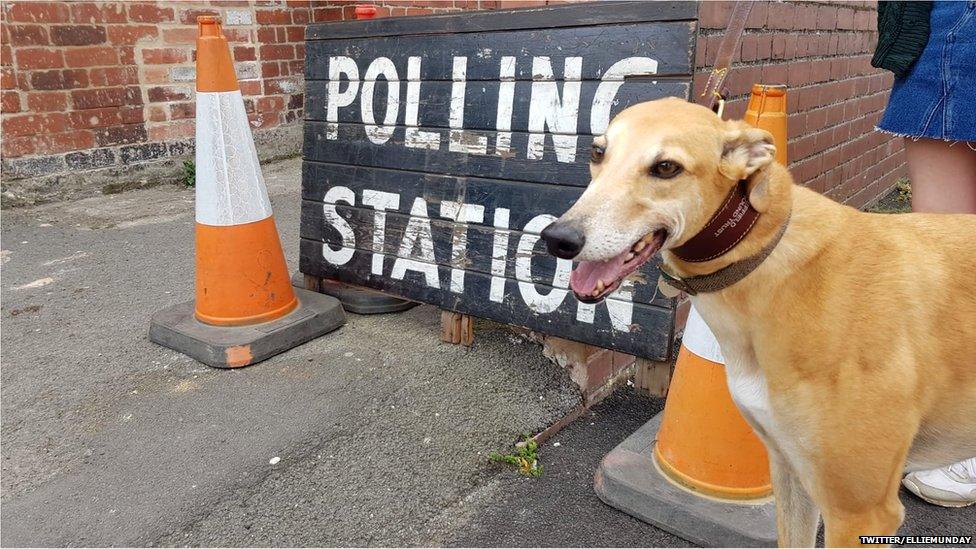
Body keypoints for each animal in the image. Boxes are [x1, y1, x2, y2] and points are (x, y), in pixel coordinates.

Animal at [540, 97, 976, 544]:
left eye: (666, 167)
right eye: (598, 152)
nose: (558, 239)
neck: (765, 258)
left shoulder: (861, 513)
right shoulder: (791, 470)